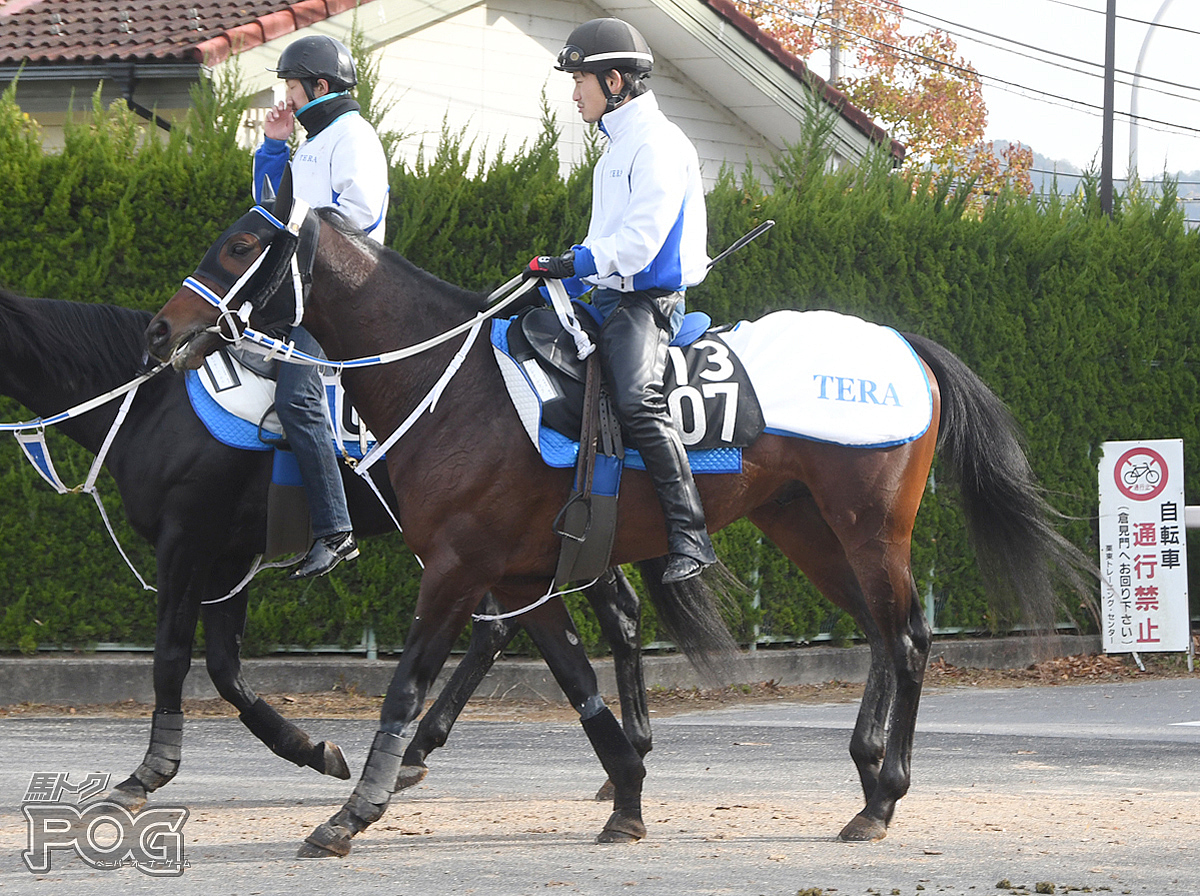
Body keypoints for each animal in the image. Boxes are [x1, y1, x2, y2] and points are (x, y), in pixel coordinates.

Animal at [0, 289, 657, 810]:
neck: (156, 404)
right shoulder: (229, 557)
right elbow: (225, 670)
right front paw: (315, 750)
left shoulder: (186, 543)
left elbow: (171, 658)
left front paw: (147, 774)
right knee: (563, 620)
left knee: (569, 620)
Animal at [145, 175, 1094, 854]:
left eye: (240, 244)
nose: (160, 332)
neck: (455, 388)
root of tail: (904, 346)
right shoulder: (522, 578)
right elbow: (582, 689)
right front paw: (627, 798)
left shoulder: (456, 570)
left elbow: (406, 685)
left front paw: (351, 813)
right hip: (807, 528)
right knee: (883, 633)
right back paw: (866, 780)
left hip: (870, 528)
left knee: (906, 639)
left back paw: (885, 794)